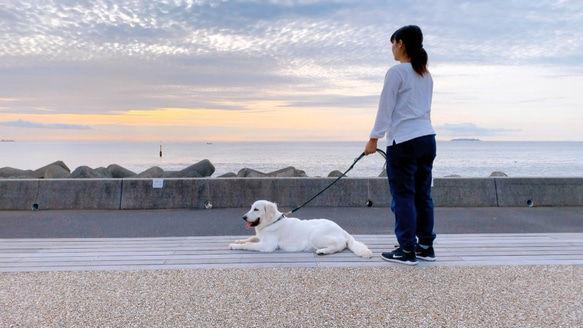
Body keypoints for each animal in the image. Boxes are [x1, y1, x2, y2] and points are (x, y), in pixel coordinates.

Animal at [229, 200, 374, 258]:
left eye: (256, 209)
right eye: (251, 207)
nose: (243, 217)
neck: (272, 222)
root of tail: (342, 230)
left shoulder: (267, 245)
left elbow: (248, 245)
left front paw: (235, 246)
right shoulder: (260, 238)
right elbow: (250, 238)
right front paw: (237, 241)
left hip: (315, 235)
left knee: (338, 247)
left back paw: (322, 251)